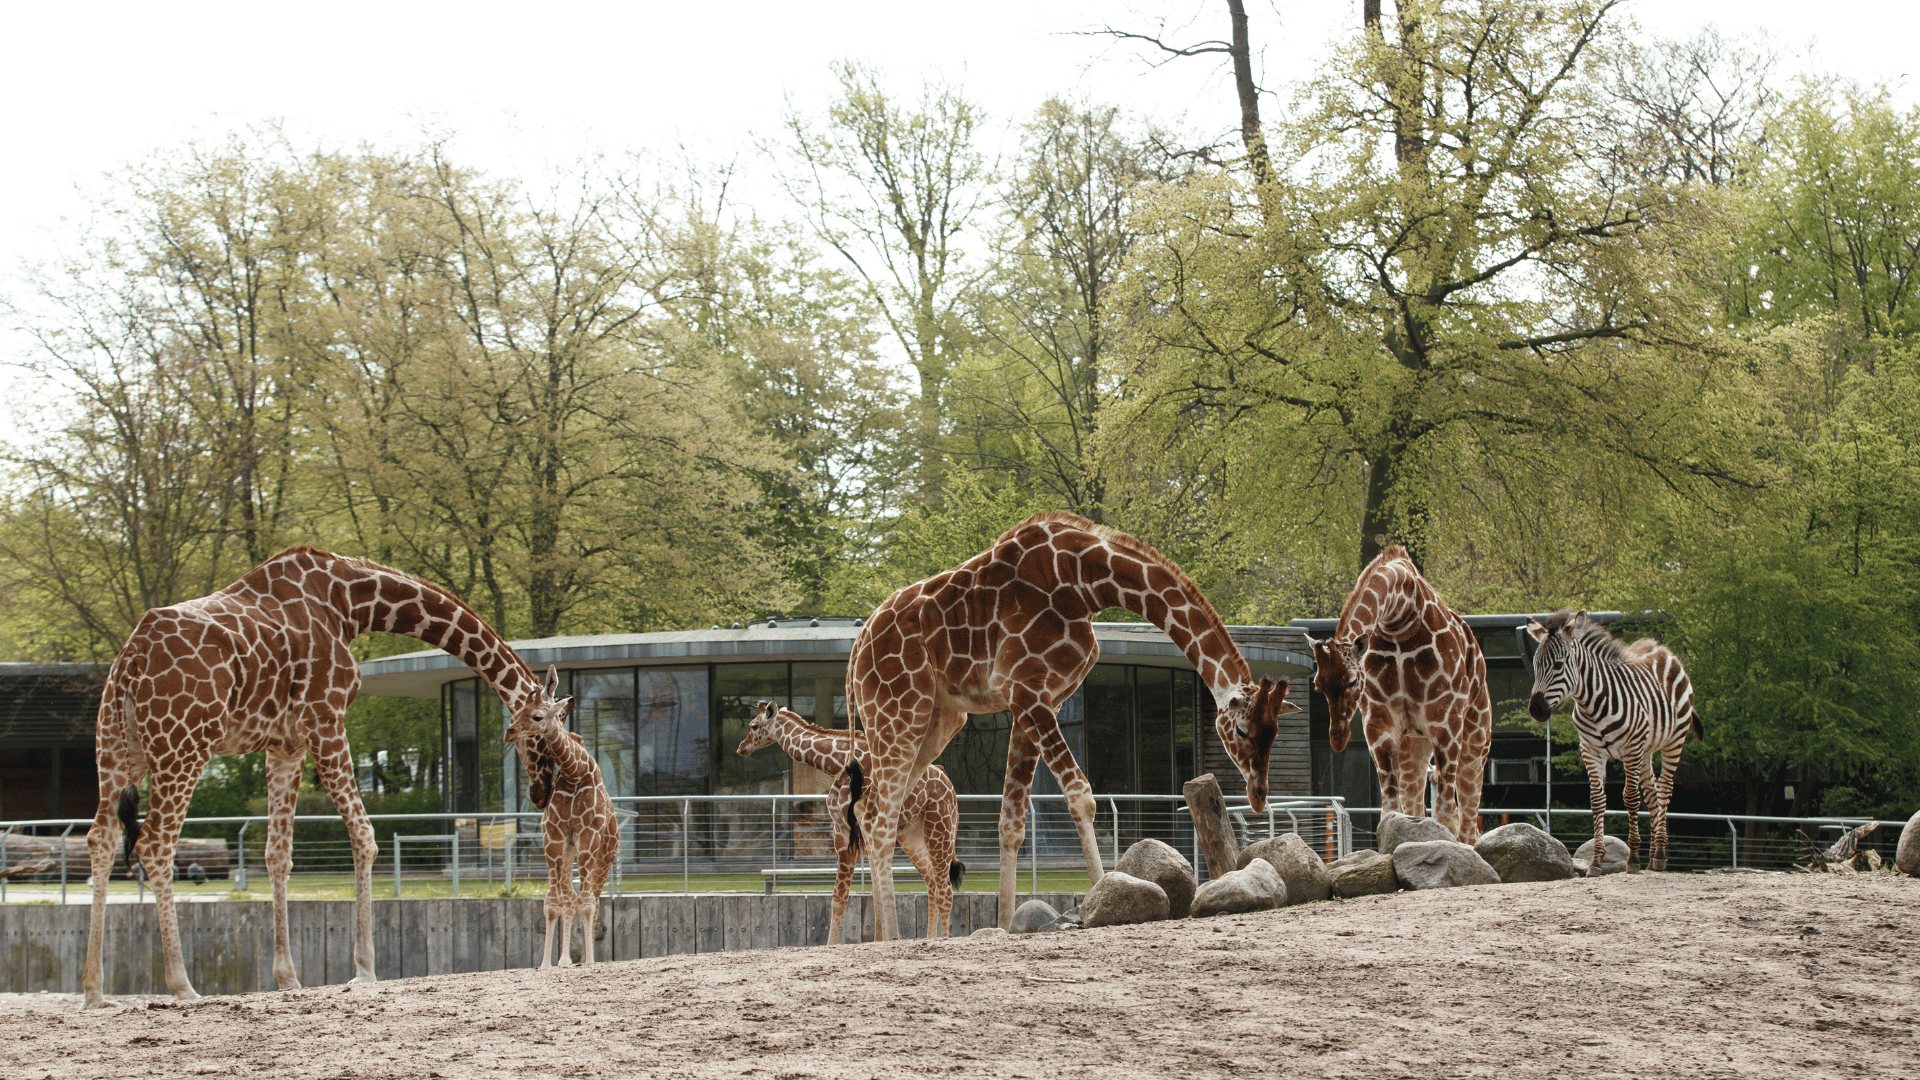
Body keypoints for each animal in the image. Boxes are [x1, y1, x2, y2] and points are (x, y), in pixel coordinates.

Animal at [1525, 609, 1704, 874]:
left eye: (1558, 665)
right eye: (1536, 665)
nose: (1536, 710)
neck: (1592, 705)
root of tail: (1663, 649)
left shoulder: (1631, 749)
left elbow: (1630, 798)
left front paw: (1633, 860)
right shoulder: (1591, 751)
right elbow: (1598, 801)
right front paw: (1596, 861)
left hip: (1673, 740)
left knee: (1664, 789)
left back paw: (1660, 855)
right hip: (1647, 749)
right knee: (1652, 792)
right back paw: (1652, 858)